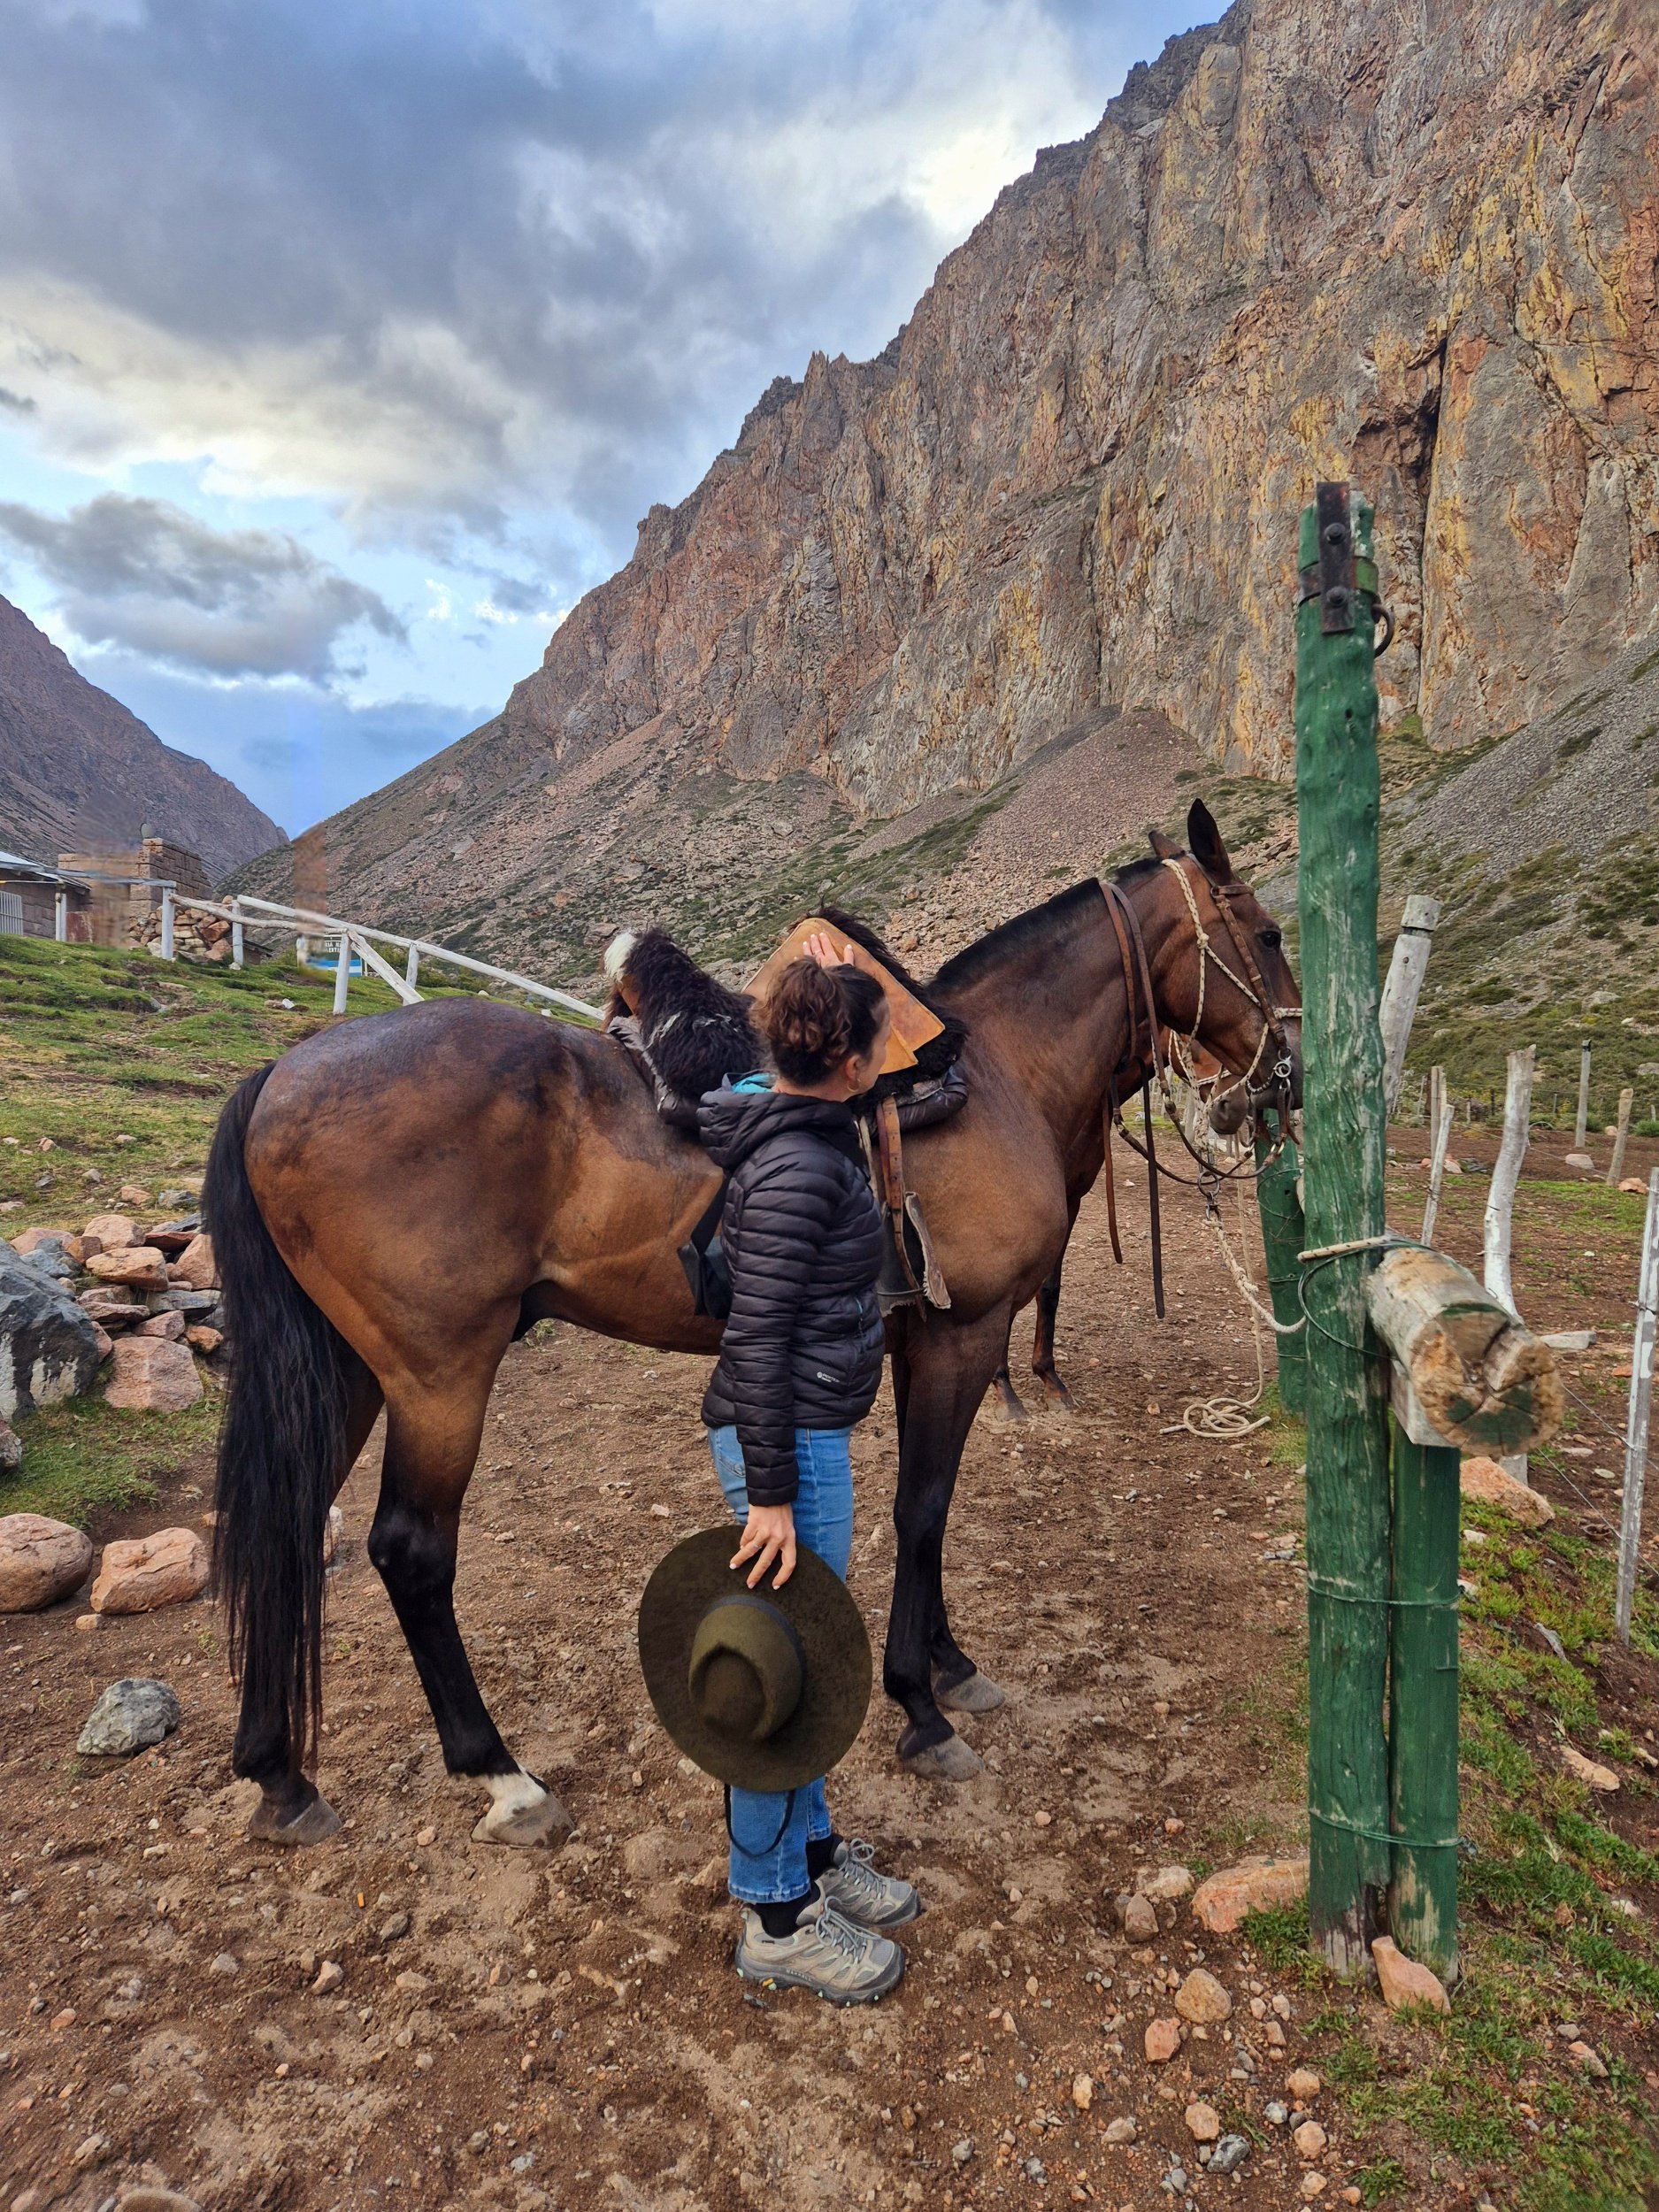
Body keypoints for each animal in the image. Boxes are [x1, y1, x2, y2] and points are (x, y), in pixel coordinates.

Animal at [206, 798, 1301, 1842]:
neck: (997, 1075)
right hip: (437, 1378)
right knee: (410, 1551)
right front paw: (920, 1704)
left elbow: (926, 1505)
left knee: (289, 1526)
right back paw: (502, 1776)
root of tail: (280, 1077)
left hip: (352, 1373)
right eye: (1267, 931)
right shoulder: (965, 1336)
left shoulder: (919, 1338)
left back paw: (279, 1773)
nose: (1284, 1074)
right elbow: (924, 1507)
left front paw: (950, 1663)